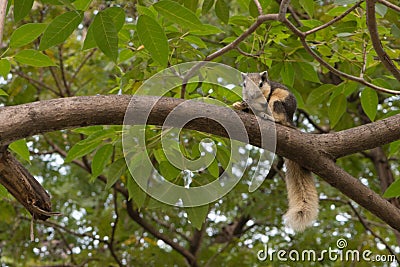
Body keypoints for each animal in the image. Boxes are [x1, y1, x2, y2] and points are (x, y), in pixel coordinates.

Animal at [233, 71, 318, 232]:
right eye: (244, 84)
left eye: (261, 84)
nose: (251, 96)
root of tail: (291, 122)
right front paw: (239, 105)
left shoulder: (267, 97)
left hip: (277, 103)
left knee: (278, 117)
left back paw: (270, 117)